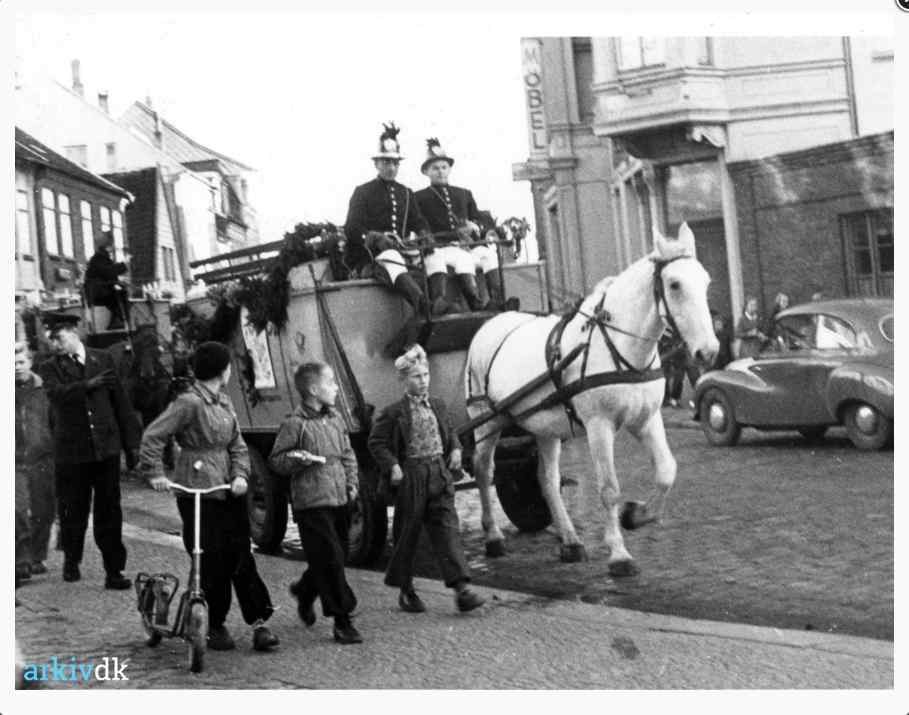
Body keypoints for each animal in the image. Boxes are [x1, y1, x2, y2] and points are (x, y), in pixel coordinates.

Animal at [468, 224, 716, 576]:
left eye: (705, 281)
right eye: (674, 284)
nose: (708, 351)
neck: (618, 347)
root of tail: (489, 323)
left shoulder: (647, 418)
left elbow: (667, 471)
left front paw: (636, 515)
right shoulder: (599, 425)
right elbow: (609, 489)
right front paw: (619, 554)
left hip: (545, 427)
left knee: (547, 479)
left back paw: (570, 541)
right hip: (487, 420)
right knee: (483, 469)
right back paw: (492, 536)